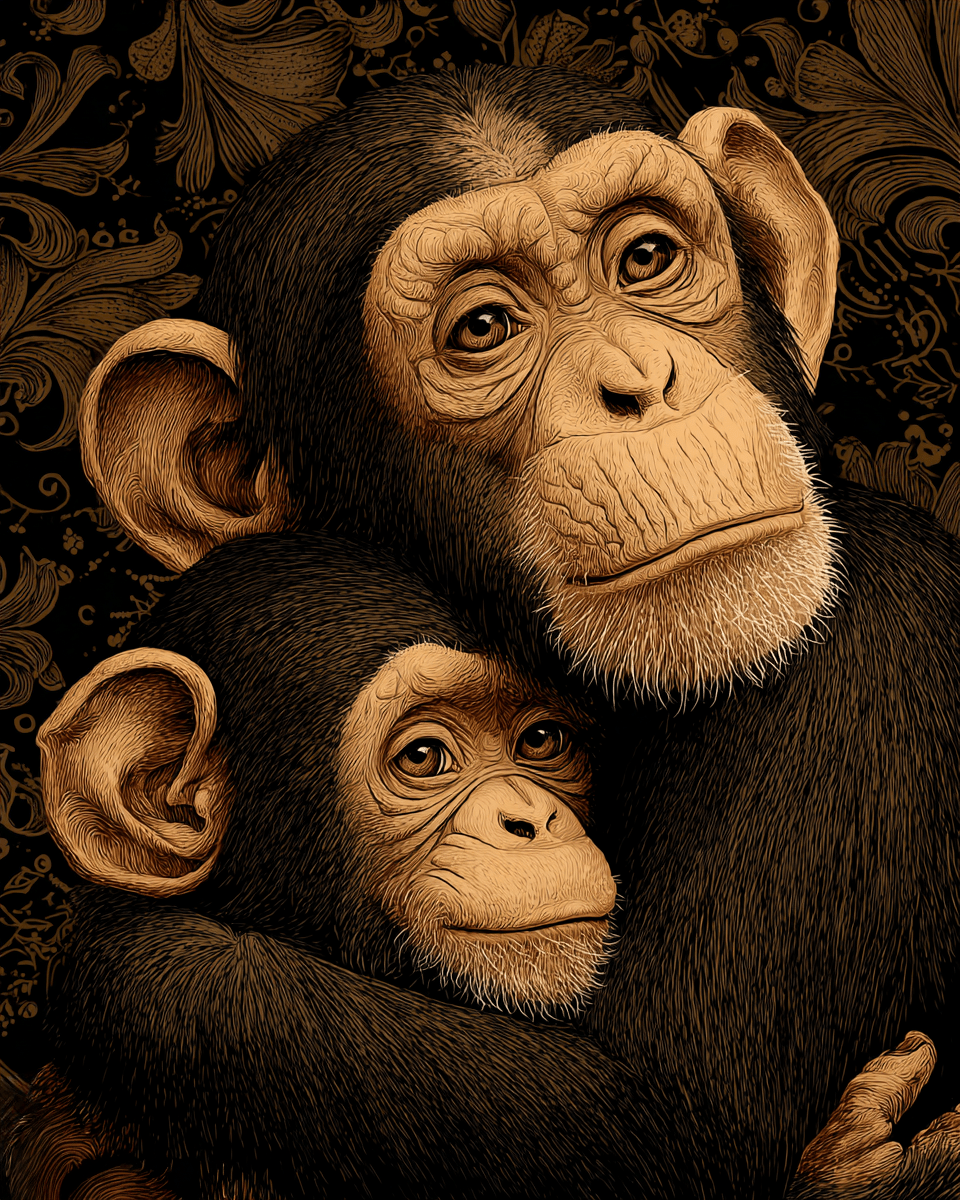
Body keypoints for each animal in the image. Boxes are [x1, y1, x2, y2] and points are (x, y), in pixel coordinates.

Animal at [70, 65, 960, 1197]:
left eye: (647, 259)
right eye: (484, 326)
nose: (640, 383)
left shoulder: (867, 658)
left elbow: (670, 1122)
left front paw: (144, 967)